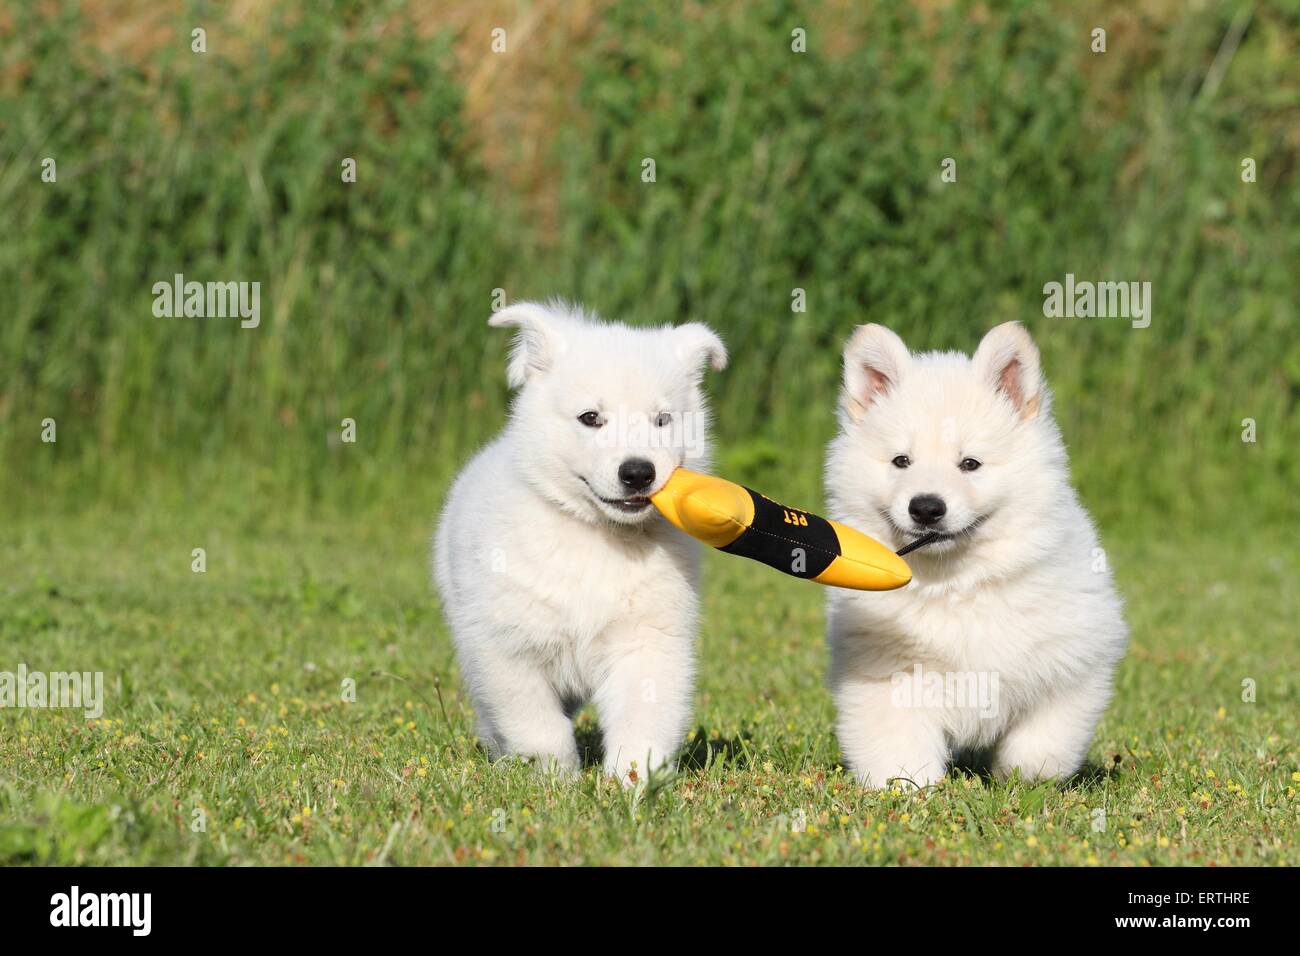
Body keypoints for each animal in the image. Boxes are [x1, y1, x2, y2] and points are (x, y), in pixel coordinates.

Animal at [434, 299, 722, 785]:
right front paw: (555, 780)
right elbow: (537, 724)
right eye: (591, 418)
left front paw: (631, 782)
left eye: (662, 421)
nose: (638, 472)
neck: (597, 534)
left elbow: (644, 717)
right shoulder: (508, 646)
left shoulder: (648, 639)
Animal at [826, 325, 1123, 790]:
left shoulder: (1072, 662)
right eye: (901, 461)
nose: (926, 507)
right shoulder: (884, 671)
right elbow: (898, 745)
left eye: (970, 464)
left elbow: (1042, 741)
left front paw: (1025, 781)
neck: (955, 583)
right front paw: (907, 790)